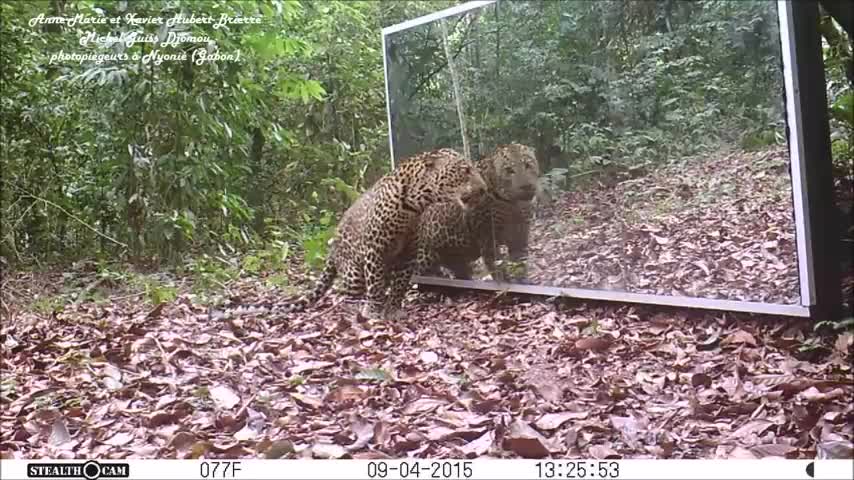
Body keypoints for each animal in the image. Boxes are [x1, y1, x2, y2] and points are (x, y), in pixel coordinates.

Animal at [210, 149, 484, 322]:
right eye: (464, 170)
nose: (483, 188)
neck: (414, 205)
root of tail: (332, 251)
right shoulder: (374, 249)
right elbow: (375, 285)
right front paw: (374, 311)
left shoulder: (408, 253)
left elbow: (400, 284)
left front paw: (394, 308)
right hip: (353, 273)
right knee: (347, 291)